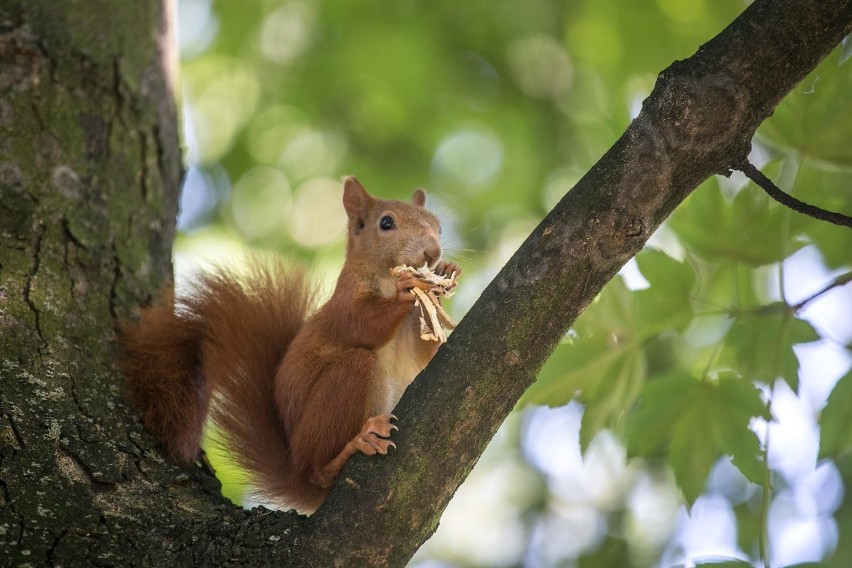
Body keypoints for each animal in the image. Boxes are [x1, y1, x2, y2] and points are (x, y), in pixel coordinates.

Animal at [120, 178, 460, 516]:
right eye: (386, 223)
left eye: (439, 227)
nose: (433, 252)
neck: (385, 278)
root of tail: (295, 470)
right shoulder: (344, 305)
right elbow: (362, 325)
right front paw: (407, 287)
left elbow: (423, 353)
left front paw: (444, 274)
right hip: (343, 386)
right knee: (317, 468)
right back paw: (352, 447)